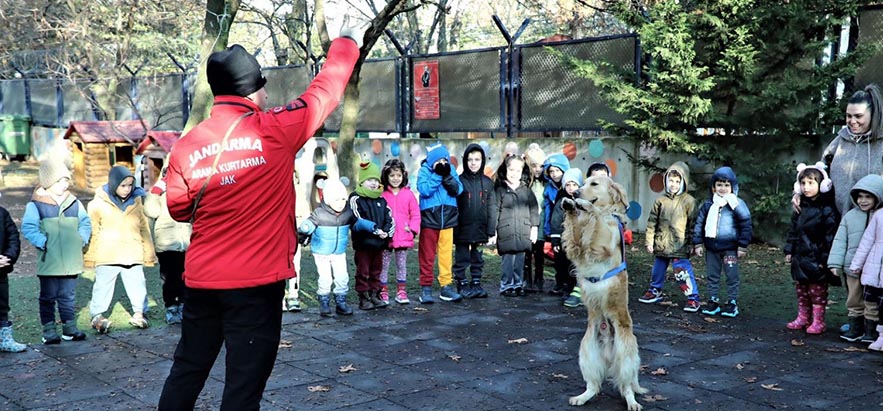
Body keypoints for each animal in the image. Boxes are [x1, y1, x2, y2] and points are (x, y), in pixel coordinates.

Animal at [564, 175, 644, 410]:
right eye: (583, 182)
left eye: (594, 184)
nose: (574, 192)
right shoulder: (576, 247)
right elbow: (574, 231)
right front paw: (570, 206)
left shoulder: (605, 243)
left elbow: (596, 217)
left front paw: (586, 206)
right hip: (586, 353)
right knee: (594, 386)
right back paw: (581, 397)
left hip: (626, 354)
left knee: (626, 387)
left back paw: (632, 402)